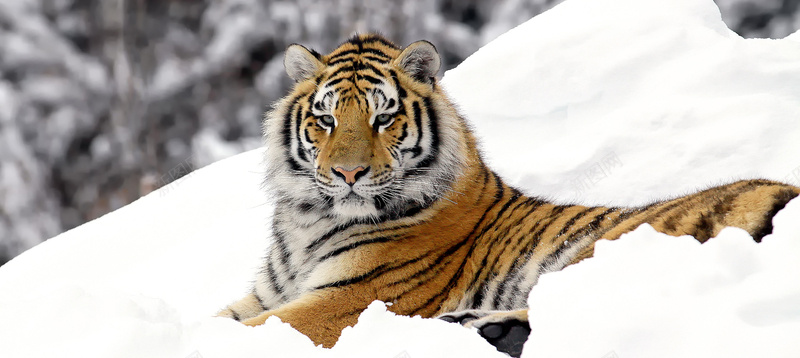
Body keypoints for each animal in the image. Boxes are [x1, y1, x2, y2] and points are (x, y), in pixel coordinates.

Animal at [219, 34, 800, 358]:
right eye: (326, 120)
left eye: (383, 118)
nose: (347, 173)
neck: (307, 223)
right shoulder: (265, 295)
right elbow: (223, 319)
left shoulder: (347, 300)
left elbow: (243, 332)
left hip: (613, 246)